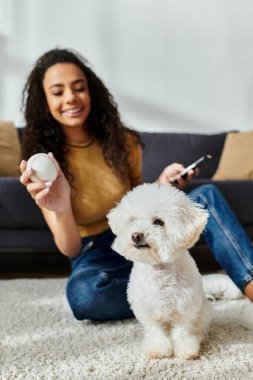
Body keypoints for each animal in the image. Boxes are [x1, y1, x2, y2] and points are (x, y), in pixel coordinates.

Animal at [107, 183, 212, 360]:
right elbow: (155, 331)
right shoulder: (147, 311)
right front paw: (158, 349)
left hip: (202, 312)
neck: (160, 271)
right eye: (132, 220)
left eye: (158, 222)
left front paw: (186, 349)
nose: (136, 235)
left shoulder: (186, 309)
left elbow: (182, 331)